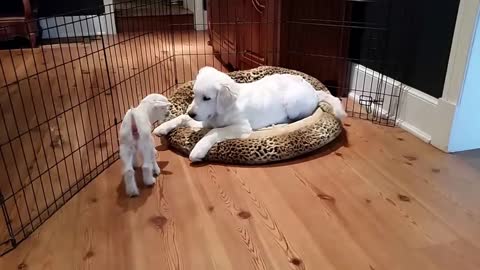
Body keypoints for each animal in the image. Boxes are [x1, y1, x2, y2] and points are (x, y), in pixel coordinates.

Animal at [154, 67, 344, 162]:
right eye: (194, 94)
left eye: (207, 98)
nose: (193, 113)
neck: (222, 109)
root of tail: (315, 91)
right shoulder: (205, 121)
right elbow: (182, 118)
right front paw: (162, 127)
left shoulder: (241, 127)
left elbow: (213, 132)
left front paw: (198, 150)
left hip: (293, 104)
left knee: (297, 118)